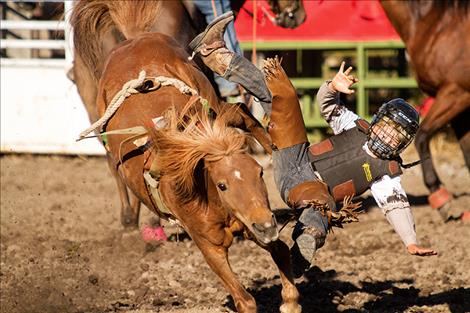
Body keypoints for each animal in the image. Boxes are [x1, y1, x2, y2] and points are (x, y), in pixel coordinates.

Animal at [89, 29, 300, 312]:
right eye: (222, 185)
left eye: (259, 173)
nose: (267, 226)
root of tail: (135, 39)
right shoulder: (211, 245)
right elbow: (244, 300)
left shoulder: (251, 221)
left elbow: (281, 251)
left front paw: (290, 302)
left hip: (208, 97)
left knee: (239, 111)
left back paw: (276, 148)